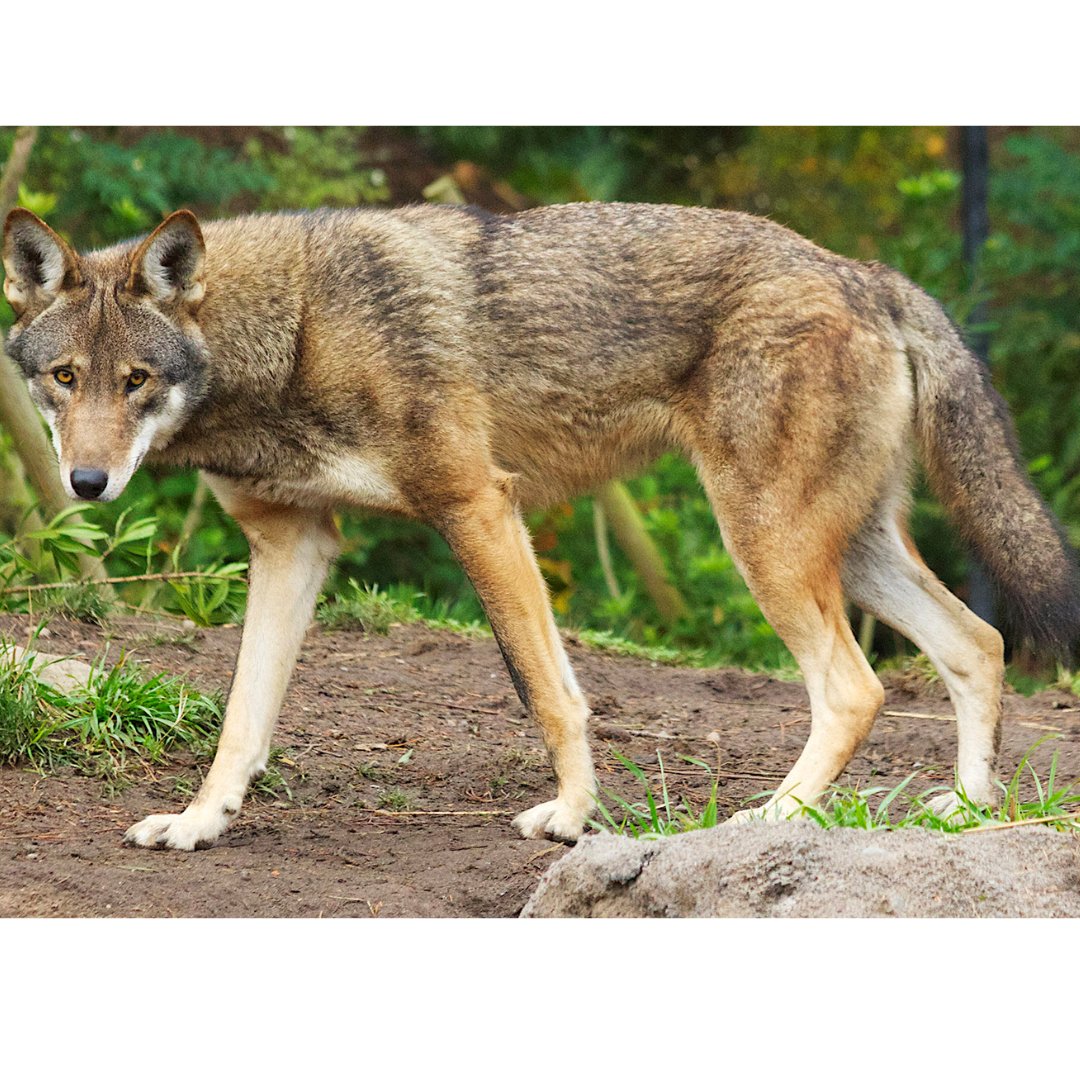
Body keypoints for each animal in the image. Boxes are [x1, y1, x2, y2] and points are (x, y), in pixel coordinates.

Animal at [3, 202, 1079, 850]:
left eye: (135, 381)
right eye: (65, 378)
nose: (86, 483)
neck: (294, 333)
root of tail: (866, 271)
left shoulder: (479, 505)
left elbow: (547, 692)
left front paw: (571, 816)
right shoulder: (292, 545)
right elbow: (241, 719)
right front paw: (198, 824)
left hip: (769, 545)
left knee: (857, 688)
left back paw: (769, 818)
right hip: (844, 551)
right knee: (978, 643)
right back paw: (967, 811)